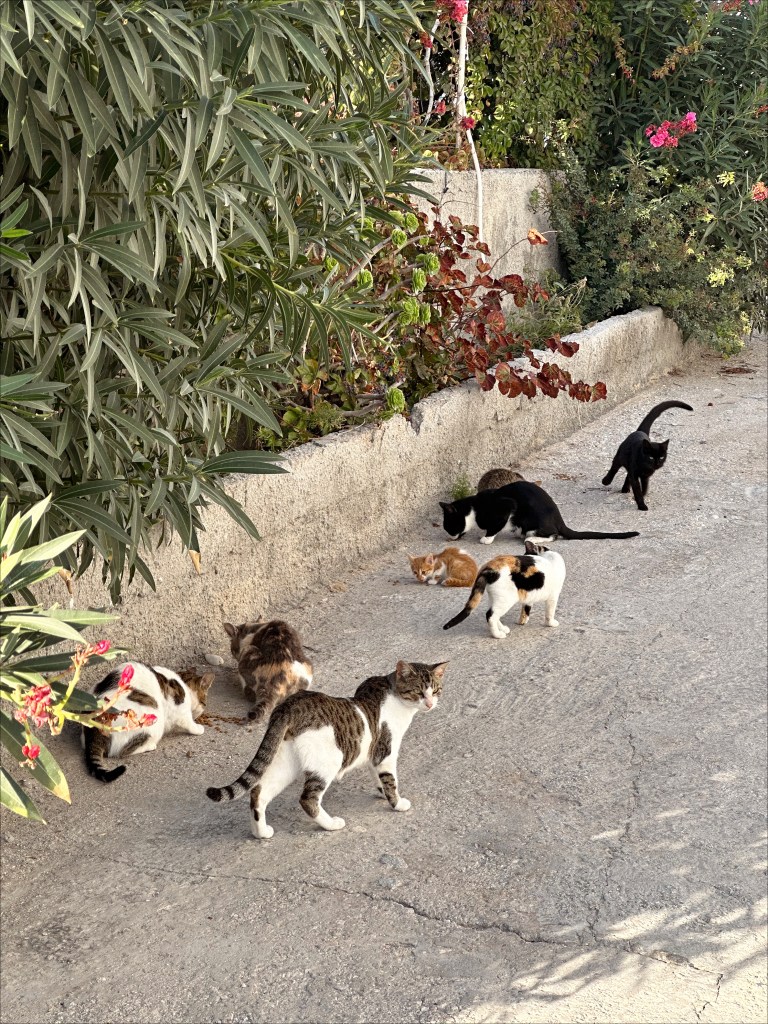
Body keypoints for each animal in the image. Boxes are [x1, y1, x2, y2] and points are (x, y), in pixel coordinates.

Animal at [83, 663, 215, 783]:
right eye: (204, 703)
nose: (201, 711)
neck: (183, 681)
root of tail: (94, 730)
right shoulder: (181, 711)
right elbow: (188, 722)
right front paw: (198, 728)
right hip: (153, 723)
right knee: (123, 751)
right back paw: (150, 746)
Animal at [206, 660, 448, 839]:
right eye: (419, 692)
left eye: (435, 691)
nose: (430, 704)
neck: (393, 692)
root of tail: (288, 707)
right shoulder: (385, 752)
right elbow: (390, 779)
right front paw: (397, 802)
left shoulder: (373, 754)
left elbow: (378, 776)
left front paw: (382, 792)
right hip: (328, 761)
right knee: (308, 799)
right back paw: (331, 824)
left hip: (285, 761)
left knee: (258, 792)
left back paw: (261, 832)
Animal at [440, 480, 639, 544]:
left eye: (448, 525)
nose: (449, 536)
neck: (474, 508)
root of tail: (559, 520)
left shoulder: (506, 507)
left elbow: (495, 527)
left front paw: (486, 538)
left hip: (533, 523)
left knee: (553, 535)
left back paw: (531, 539)